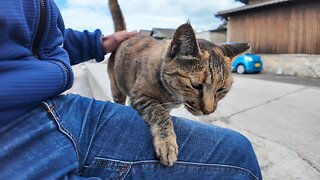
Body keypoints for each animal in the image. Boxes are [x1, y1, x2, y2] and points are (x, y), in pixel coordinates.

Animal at [107, 0, 250, 166]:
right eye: (196, 85)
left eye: (221, 90)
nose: (208, 111)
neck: (172, 96)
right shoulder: (139, 96)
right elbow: (159, 113)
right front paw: (167, 143)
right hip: (116, 88)